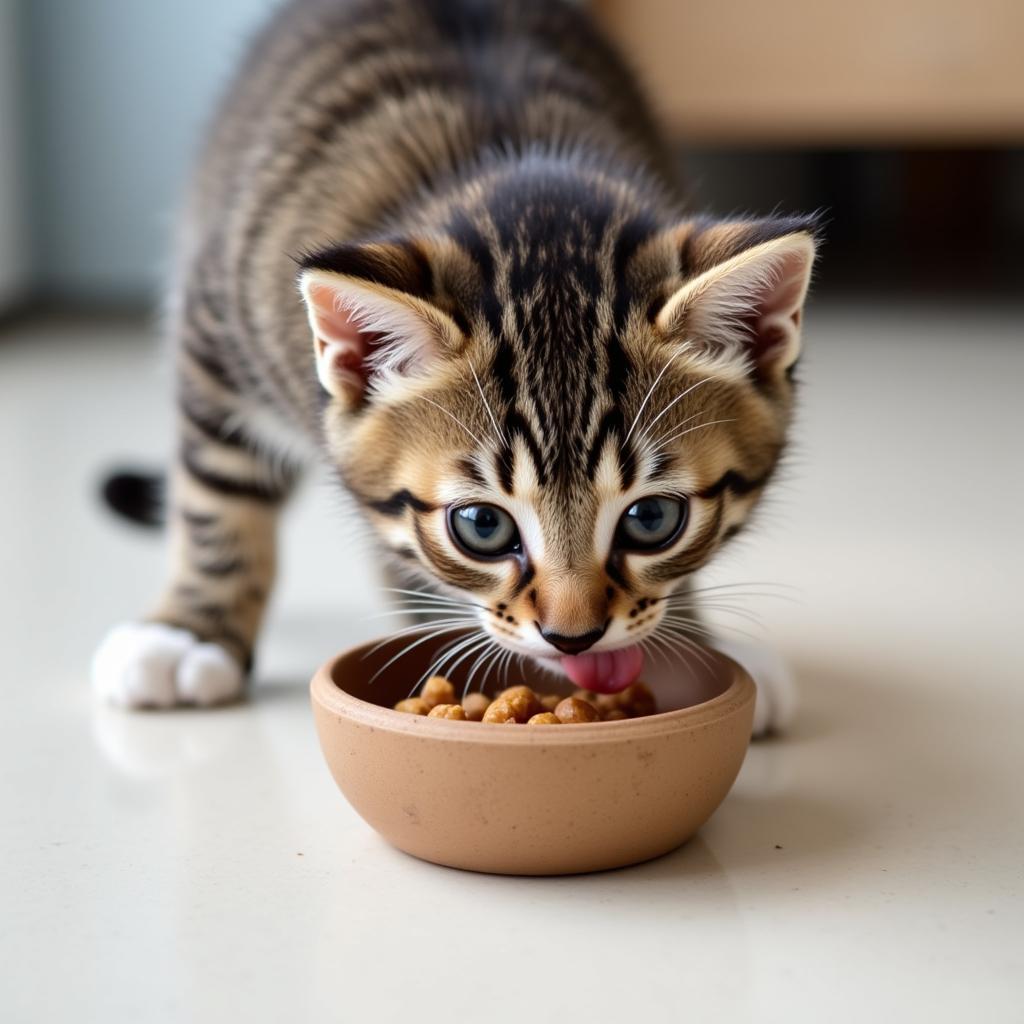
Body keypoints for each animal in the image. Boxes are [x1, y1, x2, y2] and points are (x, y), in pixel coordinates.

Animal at [92, 0, 819, 733]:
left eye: (652, 519)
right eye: (482, 527)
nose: (573, 638)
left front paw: (694, 641)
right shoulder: (216, 328)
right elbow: (217, 491)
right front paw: (188, 634)